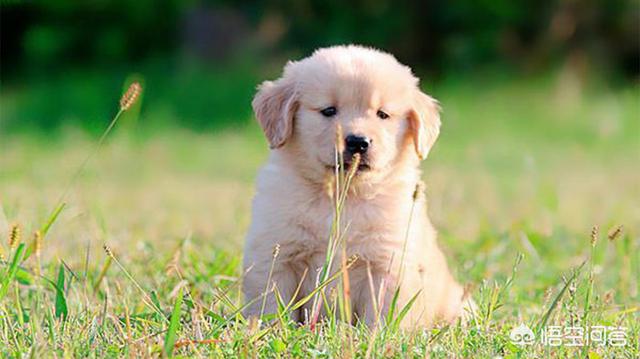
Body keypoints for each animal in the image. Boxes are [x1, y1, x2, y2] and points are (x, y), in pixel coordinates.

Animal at [242, 45, 472, 330]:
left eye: (382, 114)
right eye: (329, 110)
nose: (358, 142)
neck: (343, 194)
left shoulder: (387, 265)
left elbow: (381, 314)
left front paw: (376, 335)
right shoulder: (276, 255)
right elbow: (272, 305)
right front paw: (269, 331)